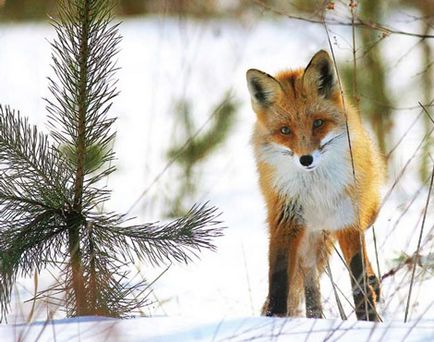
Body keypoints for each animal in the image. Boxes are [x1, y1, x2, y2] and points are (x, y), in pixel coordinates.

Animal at [246, 50, 384, 320]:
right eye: (285, 130)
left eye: (318, 123)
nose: (306, 159)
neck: (316, 191)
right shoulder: (285, 218)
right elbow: (279, 279)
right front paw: (274, 319)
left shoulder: (348, 220)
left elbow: (358, 279)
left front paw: (368, 320)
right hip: (309, 244)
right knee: (310, 282)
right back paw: (314, 317)